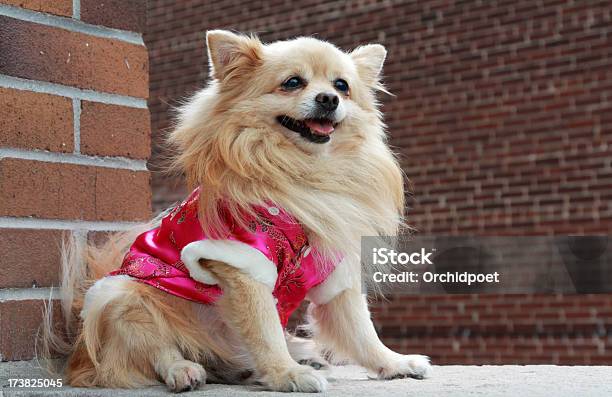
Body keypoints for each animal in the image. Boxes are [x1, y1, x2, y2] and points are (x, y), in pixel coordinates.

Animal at [49, 31, 430, 392]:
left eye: (342, 86)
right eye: (293, 82)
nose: (329, 99)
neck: (305, 173)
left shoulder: (333, 267)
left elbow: (361, 330)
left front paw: (393, 363)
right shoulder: (244, 266)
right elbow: (265, 331)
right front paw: (285, 374)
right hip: (122, 296)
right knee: (153, 350)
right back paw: (185, 370)